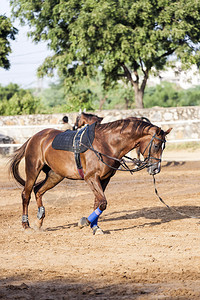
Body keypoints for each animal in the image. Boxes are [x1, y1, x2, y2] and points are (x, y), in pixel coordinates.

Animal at [9, 117, 171, 234]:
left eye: (164, 147)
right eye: (156, 145)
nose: (156, 169)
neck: (106, 144)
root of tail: (34, 137)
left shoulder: (104, 179)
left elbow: (98, 203)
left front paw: (95, 226)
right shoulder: (91, 178)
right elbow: (103, 203)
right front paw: (85, 222)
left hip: (56, 175)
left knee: (38, 190)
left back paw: (39, 221)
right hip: (33, 170)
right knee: (26, 194)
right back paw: (26, 224)